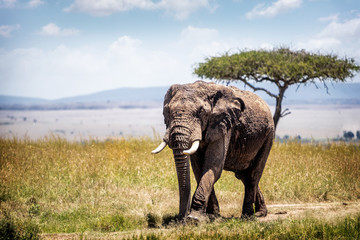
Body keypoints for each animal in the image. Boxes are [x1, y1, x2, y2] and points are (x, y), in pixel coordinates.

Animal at [151, 80, 272, 221]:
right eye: (167, 111)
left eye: (201, 112)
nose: (182, 217)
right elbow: (199, 169)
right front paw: (212, 215)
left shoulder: (223, 124)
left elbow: (213, 166)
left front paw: (195, 218)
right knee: (243, 175)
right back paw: (260, 213)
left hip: (268, 135)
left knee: (253, 175)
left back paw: (247, 216)